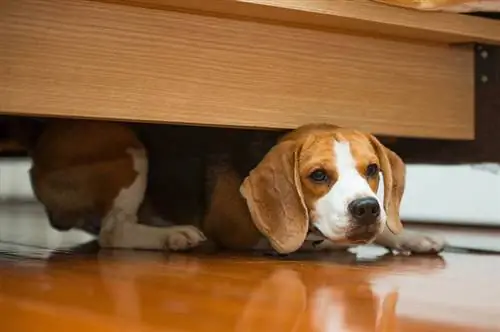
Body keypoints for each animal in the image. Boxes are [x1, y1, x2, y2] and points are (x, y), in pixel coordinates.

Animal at [20, 119, 442, 254]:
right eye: (318, 175)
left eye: (372, 170)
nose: (367, 208)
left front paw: (407, 236)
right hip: (129, 150)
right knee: (113, 231)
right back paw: (172, 236)